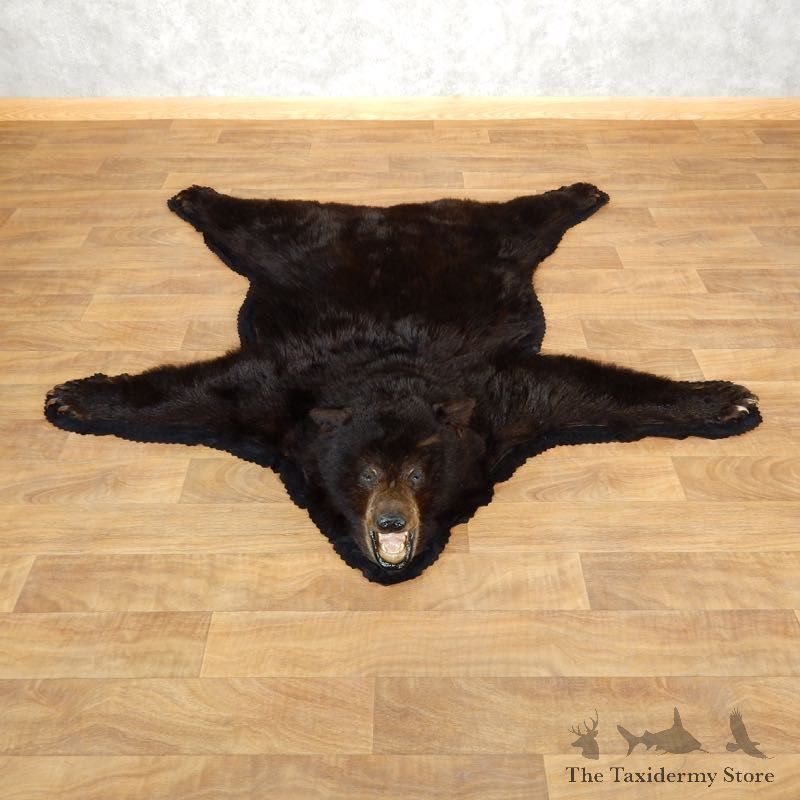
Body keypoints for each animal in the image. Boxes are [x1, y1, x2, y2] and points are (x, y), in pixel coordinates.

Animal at [44, 183, 761, 584]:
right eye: (364, 473)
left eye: (417, 473)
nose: (391, 521)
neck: (387, 376)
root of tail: (388, 215)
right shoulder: (282, 400)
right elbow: (199, 392)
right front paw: (75, 396)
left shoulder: (497, 403)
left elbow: (589, 391)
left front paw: (724, 400)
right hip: (303, 246)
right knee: (260, 225)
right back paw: (195, 196)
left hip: (480, 242)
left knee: (523, 218)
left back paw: (581, 193)